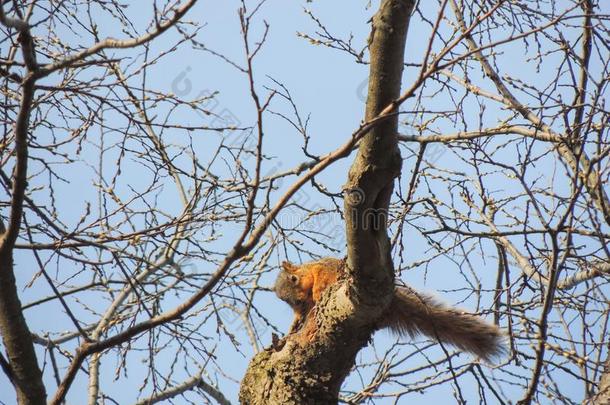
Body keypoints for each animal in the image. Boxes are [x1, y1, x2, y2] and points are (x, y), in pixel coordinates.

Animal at [276, 258, 504, 358]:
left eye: (294, 279)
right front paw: (294, 325)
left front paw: (318, 291)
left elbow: (323, 277)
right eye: (288, 301)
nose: (300, 300)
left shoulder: (323, 267)